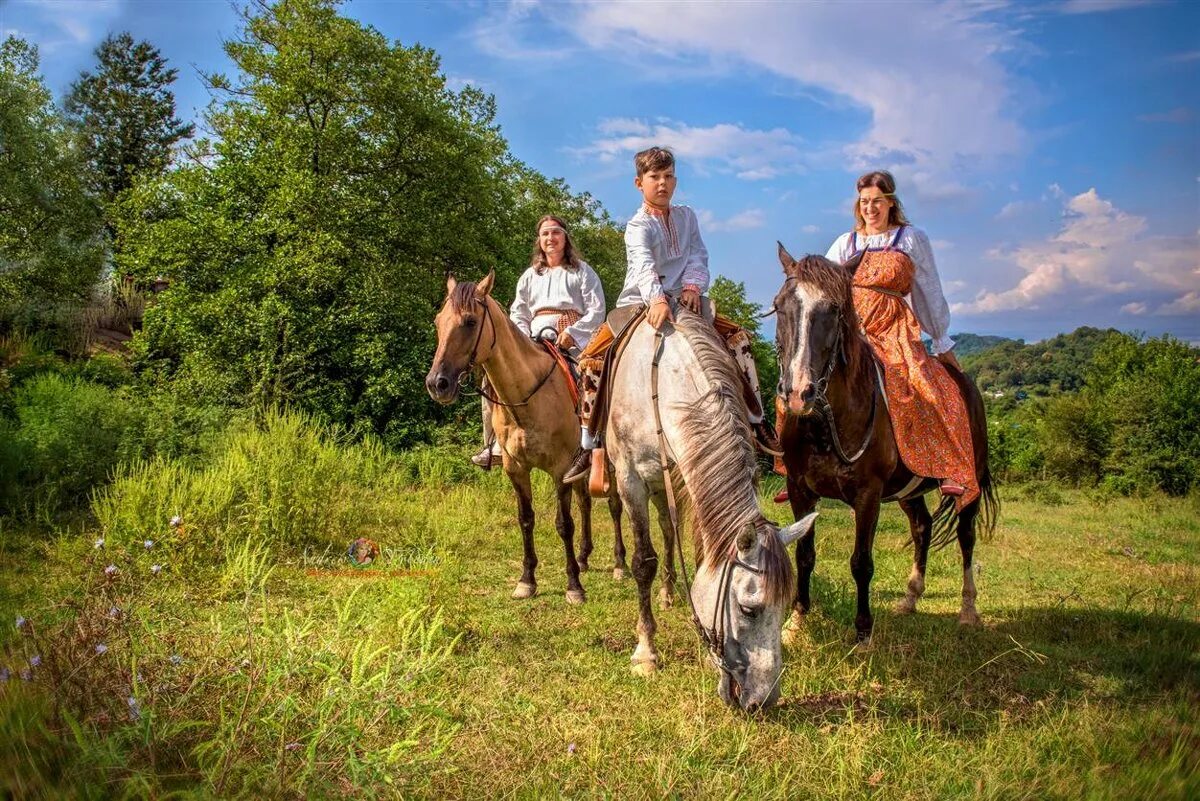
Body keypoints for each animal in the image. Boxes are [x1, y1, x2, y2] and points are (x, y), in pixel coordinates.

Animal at [424, 272, 628, 604]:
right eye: (438, 321)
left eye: (470, 321)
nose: (437, 384)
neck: (528, 397)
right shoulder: (516, 468)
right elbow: (526, 519)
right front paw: (527, 580)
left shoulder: (560, 469)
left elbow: (564, 524)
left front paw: (573, 585)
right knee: (585, 502)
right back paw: (584, 558)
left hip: (608, 460)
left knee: (614, 505)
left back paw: (620, 564)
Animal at [609, 309, 816, 714]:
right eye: (749, 609)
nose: (763, 700)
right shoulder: (631, 479)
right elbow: (644, 562)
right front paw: (645, 653)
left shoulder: (690, 473)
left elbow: (699, 553)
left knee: (668, 529)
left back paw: (668, 593)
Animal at [772, 245, 998, 642]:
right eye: (780, 305)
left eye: (834, 310)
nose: (798, 393)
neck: (827, 426)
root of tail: (964, 381)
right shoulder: (799, 489)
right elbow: (804, 554)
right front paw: (796, 623)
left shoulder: (869, 494)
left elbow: (861, 563)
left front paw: (863, 632)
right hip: (909, 491)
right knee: (922, 526)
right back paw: (910, 597)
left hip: (968, 482)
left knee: (966, 535)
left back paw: (968, 609)